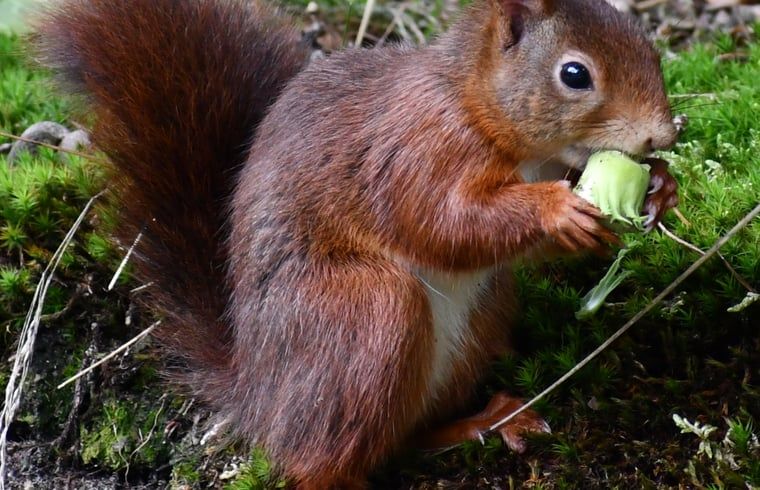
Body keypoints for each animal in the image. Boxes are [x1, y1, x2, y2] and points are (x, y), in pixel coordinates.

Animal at [35, 0, 679, 487]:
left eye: (648, 46)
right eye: (575, 75)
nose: (664, 136)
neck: (478, 105)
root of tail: (260, 396)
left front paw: (662, 188)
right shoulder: (417, 145)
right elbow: (442, 221)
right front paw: (557, 208)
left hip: (481, 314)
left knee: (406, 435)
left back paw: (487, 422)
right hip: (366, 311)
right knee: (318, 460)